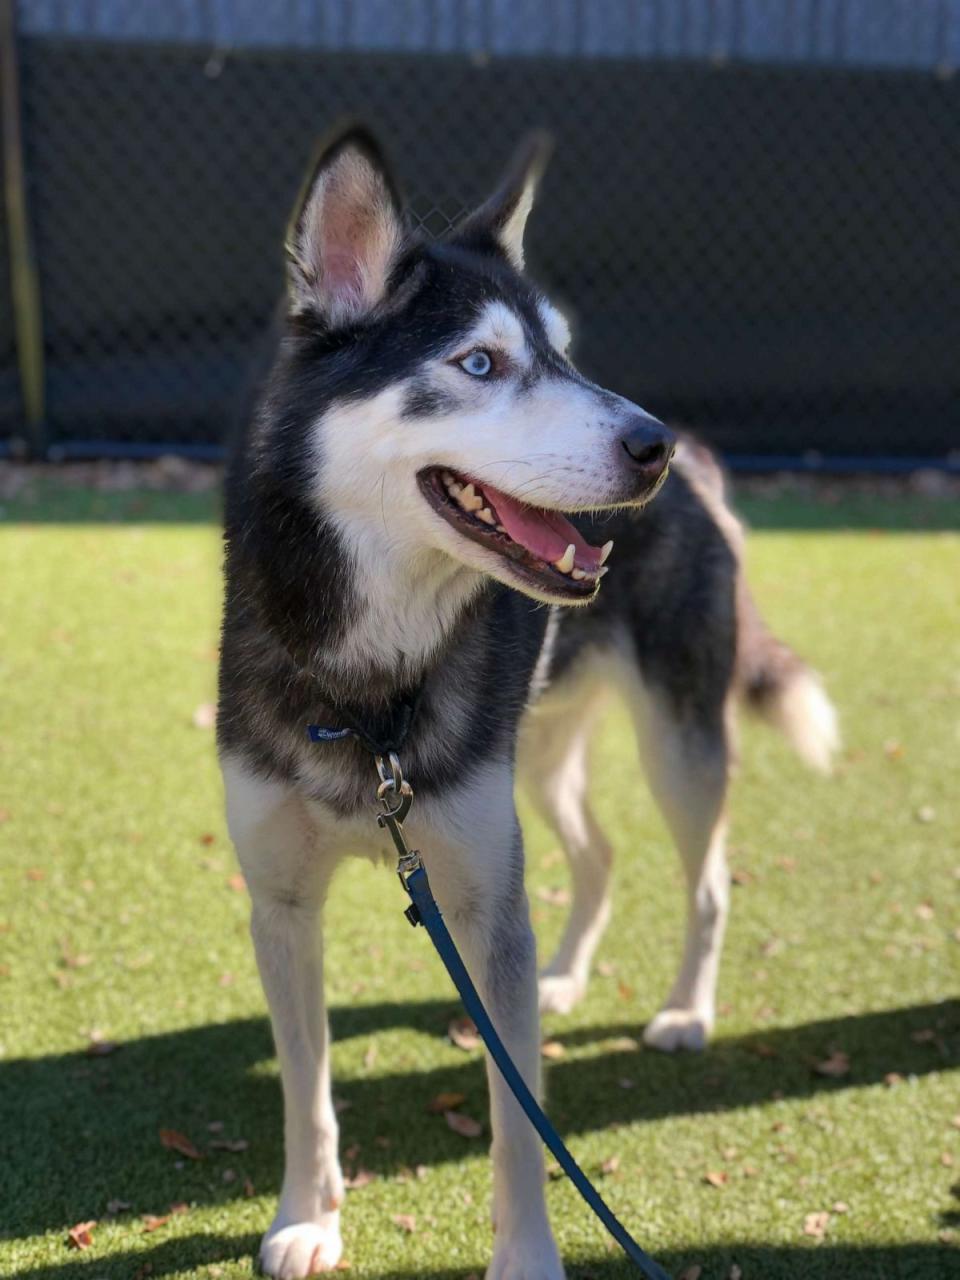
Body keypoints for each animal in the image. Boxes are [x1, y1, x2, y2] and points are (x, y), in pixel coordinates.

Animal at [221, 129, 839, 1280]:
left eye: (563, 351)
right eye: (480, 363)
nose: (649, 446)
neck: (371, 688)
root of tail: (708, 470)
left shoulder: (483, 903)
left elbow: (519, 1119)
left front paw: (527, 1259)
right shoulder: (280, 905)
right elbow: (305, 1092)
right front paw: (306, 1218)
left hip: (678, 745)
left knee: (707, 880)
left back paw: (685, 1010)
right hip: (538, 755)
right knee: (595, 851)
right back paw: (565, 976)